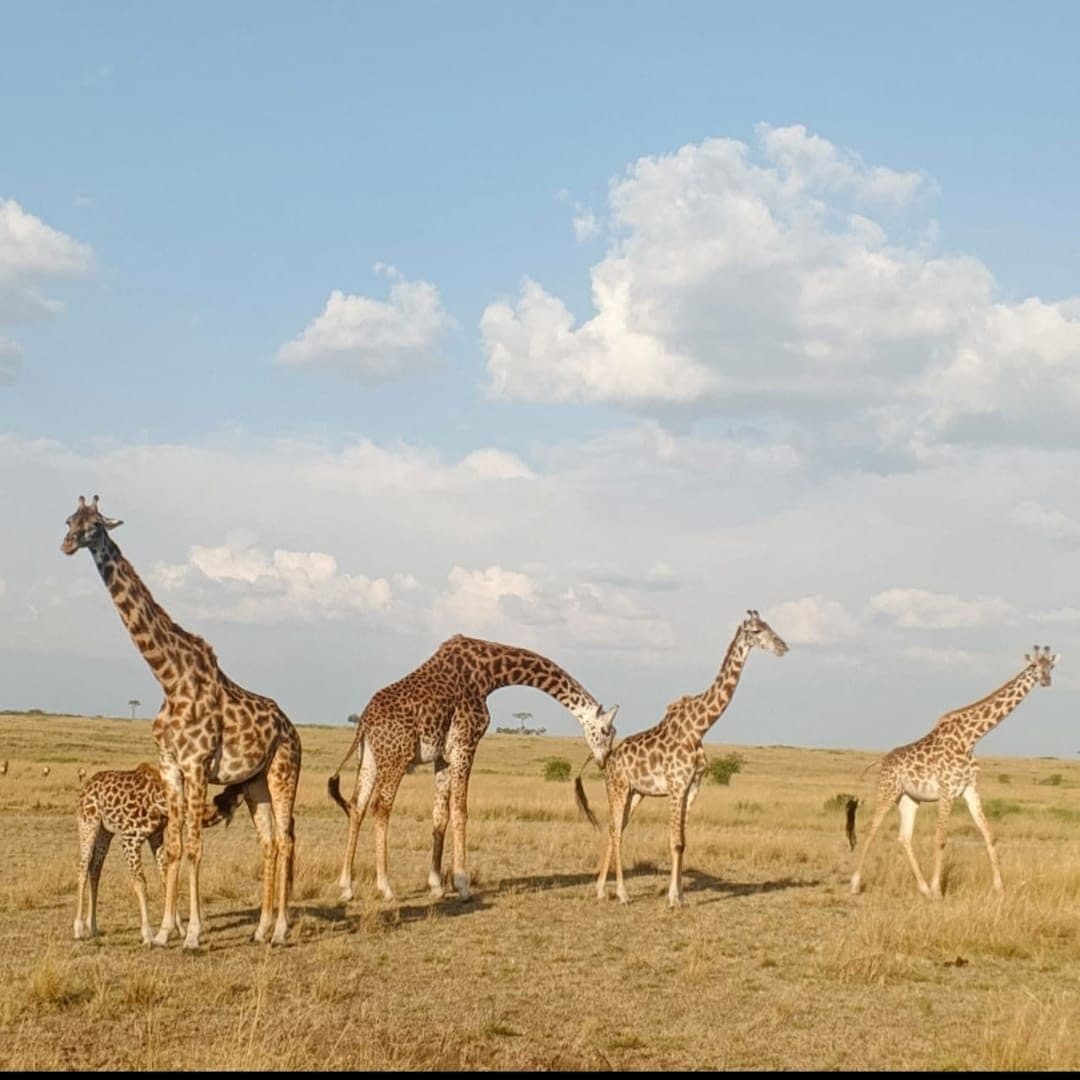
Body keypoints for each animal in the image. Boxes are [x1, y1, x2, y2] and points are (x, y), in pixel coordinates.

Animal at [74, 763, 236, 943]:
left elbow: (166, 878)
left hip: (105, 831)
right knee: (83, 868)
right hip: (88, 824)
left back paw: (93, 927)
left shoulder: (156, 836)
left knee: (95, 869)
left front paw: (179, 928)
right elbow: (140, 882)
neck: (161, 800)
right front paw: (148, 934)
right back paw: (79, 928)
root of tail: (85, 785)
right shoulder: (129, 839)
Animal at [328, 634, 619, 902]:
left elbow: (439, 814)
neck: (491, 674)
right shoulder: (465, 743)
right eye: (607, 731)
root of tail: (364, 721)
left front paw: (436, 885)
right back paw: (386, 888)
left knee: (356, 806)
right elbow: (460, 811)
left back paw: (346, 887)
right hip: (396, 759)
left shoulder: (443, 756)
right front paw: (462, 885)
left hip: (369, 759)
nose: (603, 760)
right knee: (380, 808)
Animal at [576, 610, 789, 907]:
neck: (699, 727)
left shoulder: (692, 787)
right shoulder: (676, 785)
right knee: (616, 830)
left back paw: (600, 890)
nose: (783, 646)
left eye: (769, 626)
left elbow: (683, 841)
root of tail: (608, 760)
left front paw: (681, 896)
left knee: (615, 829)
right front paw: (672, 899)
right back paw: (622, 893)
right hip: (617, 788)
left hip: (635, 793)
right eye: (757, 631)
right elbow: (674, 841)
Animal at [848, 645, 1058, 898]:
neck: (970, 738)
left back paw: (922, 888)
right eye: (1034, 666)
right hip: (888, 790)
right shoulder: (947, 790)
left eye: (1051, 666)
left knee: (904, 837)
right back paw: (855, 884)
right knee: (871, 828)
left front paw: (999, 888)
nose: (1046, 681)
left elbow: (989, 835)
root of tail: (882, 760)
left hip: (909, 798)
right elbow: (940, 838)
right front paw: (938, 889)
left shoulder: (970, 789)